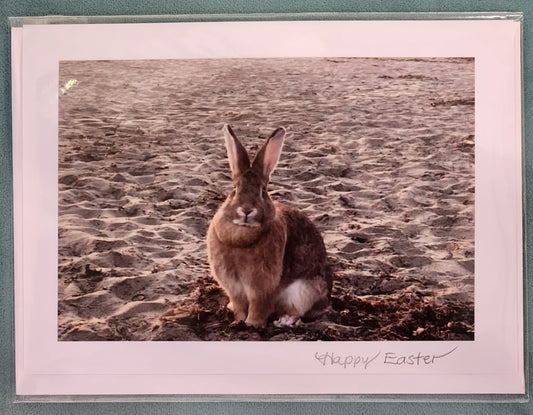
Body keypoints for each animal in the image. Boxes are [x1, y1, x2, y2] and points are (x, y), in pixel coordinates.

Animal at [206, 123, 330, 328]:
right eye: (234, 190)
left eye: (262, 191)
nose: (246, 210)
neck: (242, 233)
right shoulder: (233, 286)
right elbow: (239, 304)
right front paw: (238, 321)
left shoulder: (262, 286)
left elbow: (259, 306)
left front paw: (251, 325)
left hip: (303, 292)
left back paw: (284, 321)